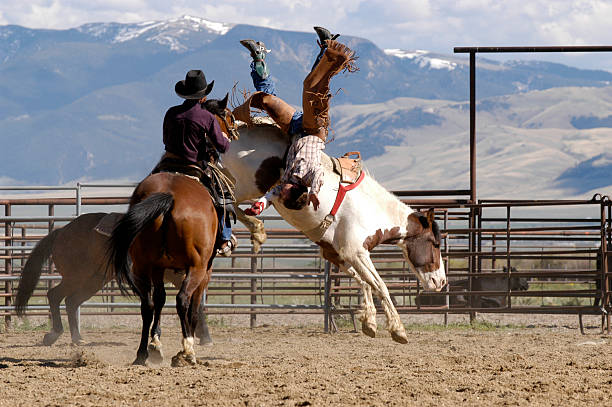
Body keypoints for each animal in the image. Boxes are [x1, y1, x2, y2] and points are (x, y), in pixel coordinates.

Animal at [14, 214, 213, 348]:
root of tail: (61, 231)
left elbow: (196, 304)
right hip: (76, 276)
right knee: (55, 295)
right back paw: (54, 334)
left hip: (94, 280)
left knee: (71, 301)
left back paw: (77, 338)